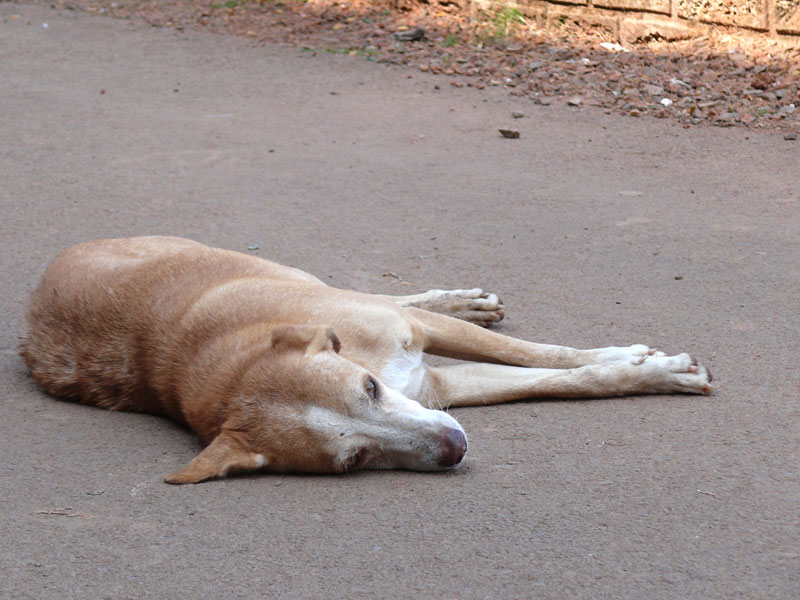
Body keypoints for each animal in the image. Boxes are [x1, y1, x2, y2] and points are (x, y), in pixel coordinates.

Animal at [21, 238, 712, 482]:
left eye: (371, 388)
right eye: (353, 461)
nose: (455, 449)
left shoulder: (416, 346)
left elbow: (551, 355)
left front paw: (640, 359)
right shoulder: (439, 390)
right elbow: (563, 380)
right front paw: (644, 371)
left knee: (390, 295)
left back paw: (461, 299)